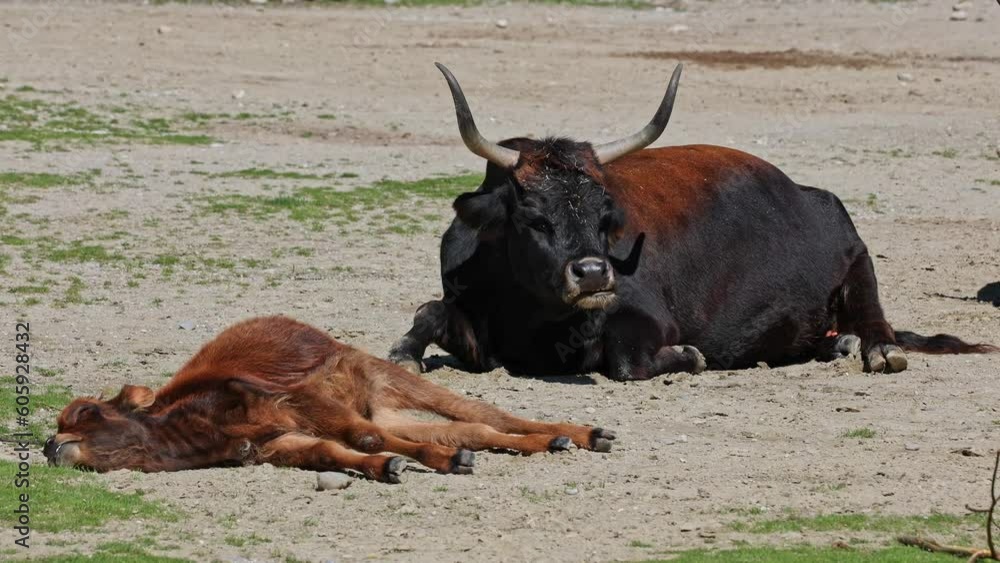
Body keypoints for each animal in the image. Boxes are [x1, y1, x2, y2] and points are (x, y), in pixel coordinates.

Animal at [43, 316, 615, 481]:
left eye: (86, 412)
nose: (50, 446)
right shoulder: (278, 443)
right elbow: (331, 451)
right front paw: (390, 467)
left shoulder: (300, 402)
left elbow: (361, 437)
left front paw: (438, 462)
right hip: (388, 405)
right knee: (474, 428)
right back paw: (553, 443)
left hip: (385, 374)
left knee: (483, 412)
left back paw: (587, 432)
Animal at [388, 63, 997, 381]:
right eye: (532, 218)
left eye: (605, 214)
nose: (594, 274)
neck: (530, 315)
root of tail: (812, 195)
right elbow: (430, 311)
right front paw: (404, 353)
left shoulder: (642, 318)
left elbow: (628, 360)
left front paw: (687, 355)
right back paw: (835, 345)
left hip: (858, 257)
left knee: (874, 316)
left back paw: (875, 348)